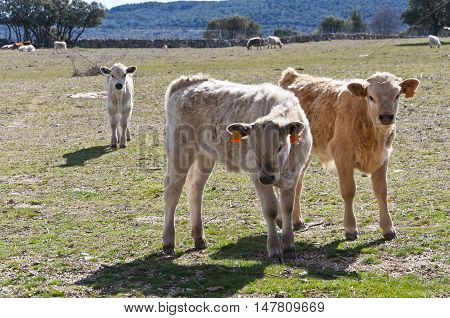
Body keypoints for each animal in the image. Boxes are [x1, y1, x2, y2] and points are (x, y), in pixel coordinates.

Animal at [163, 74, 312, 260]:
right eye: (252, 147)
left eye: (279, 147)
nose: (267, 177)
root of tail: (187, 82)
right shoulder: (257, 176)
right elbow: (270, 209)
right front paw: (274, 249)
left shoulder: (293, 175)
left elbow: (287, 208)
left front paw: (289, 246)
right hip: (180, 152)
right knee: (172, 190)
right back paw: (168, 241)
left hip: (206, 156)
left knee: (195, 187)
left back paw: (199, 238)